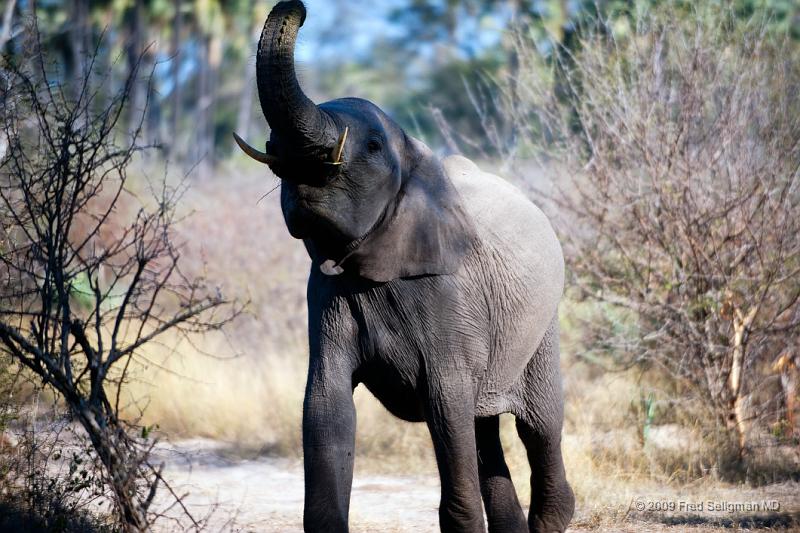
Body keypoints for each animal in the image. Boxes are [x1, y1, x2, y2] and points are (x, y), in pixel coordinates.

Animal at [234, 2, 580, 528]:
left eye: (374, 147)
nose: (301, 10)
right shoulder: (325, 294)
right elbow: (326, 407)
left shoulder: (449, 298)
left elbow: (445, 405)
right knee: (483, 432)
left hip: (542, 328)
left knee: (538, 427)